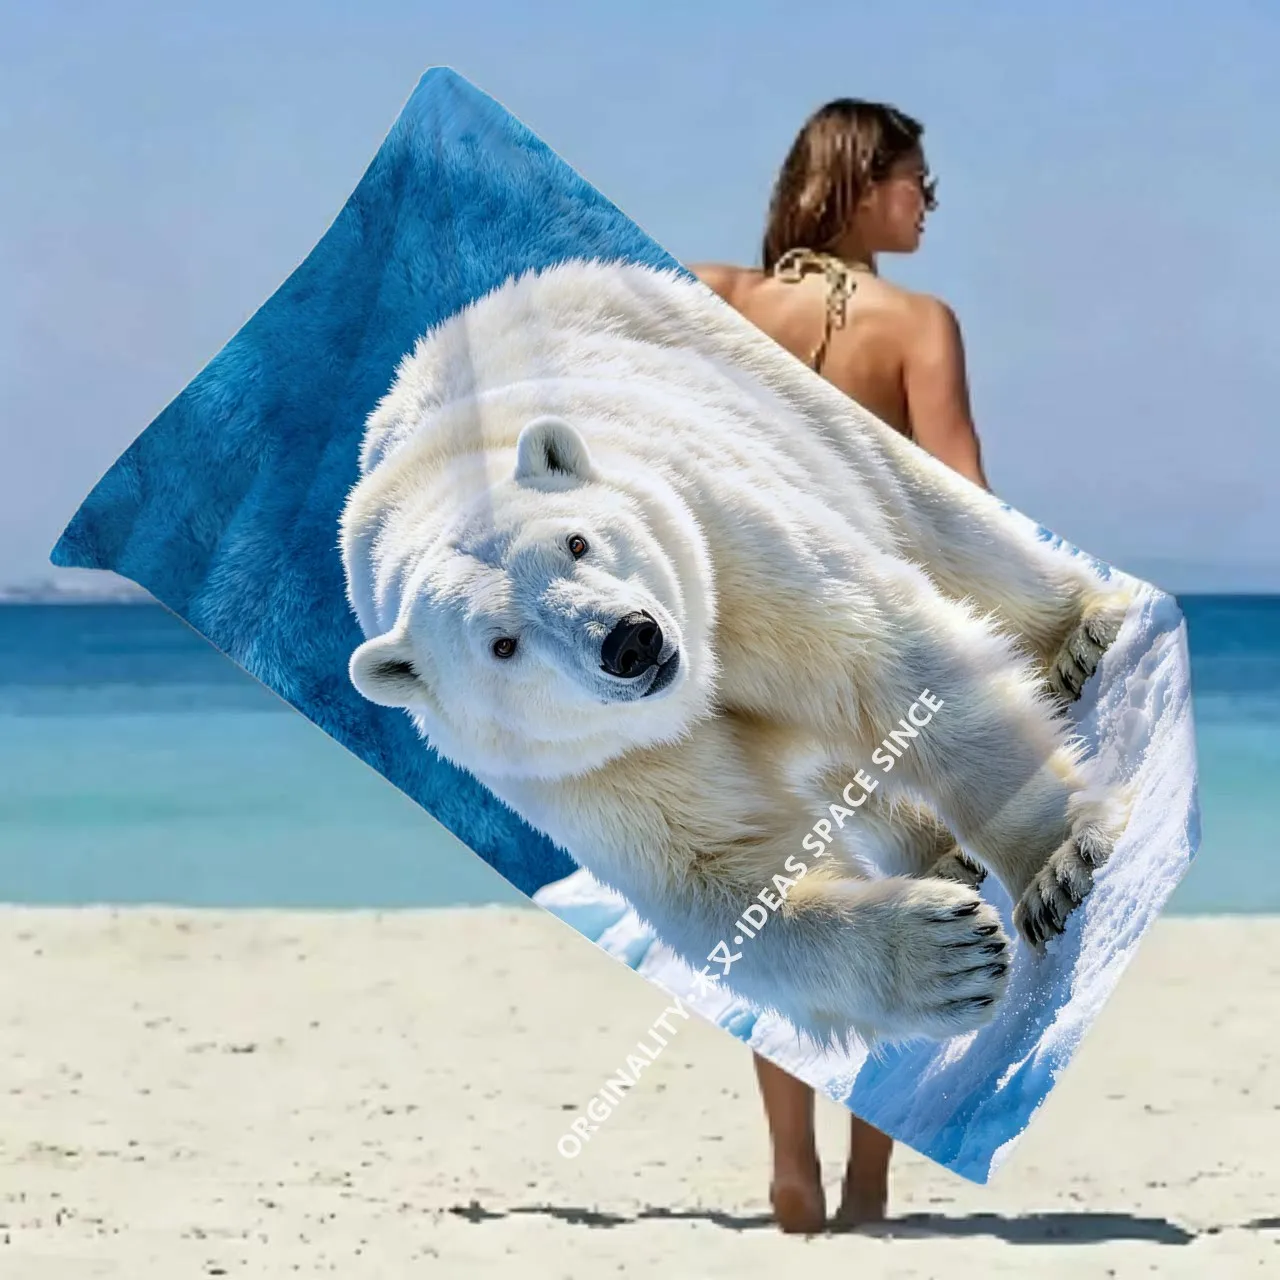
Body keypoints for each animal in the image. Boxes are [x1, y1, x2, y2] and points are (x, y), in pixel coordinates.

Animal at [338, 258, 1133, 1048]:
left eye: (576, 542)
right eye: (503, 645)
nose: (631, 641)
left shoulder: (718, 547)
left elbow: (883, 667)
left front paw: (1056, 870)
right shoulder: (593, 763)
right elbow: (719, 866)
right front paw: (947, 955)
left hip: (774, 395)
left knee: (935, 520)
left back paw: (1082, 634)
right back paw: (939, 856)